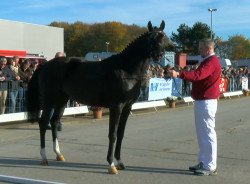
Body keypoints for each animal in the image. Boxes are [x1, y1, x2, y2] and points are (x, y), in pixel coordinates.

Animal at [26, 20, 166, 174]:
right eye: (150, 38)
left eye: (163, 37)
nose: (159, 55)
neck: (125, 69)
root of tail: (44, 65)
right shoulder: (116, 107)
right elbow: (113, 134)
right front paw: (111, 165)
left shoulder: (127, 107)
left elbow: (121, 134)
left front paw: (120, 162)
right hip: (49, 100)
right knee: (43, 123)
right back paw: (44, 157)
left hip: (61, 101)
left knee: (54, 122)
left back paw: (58, 154)